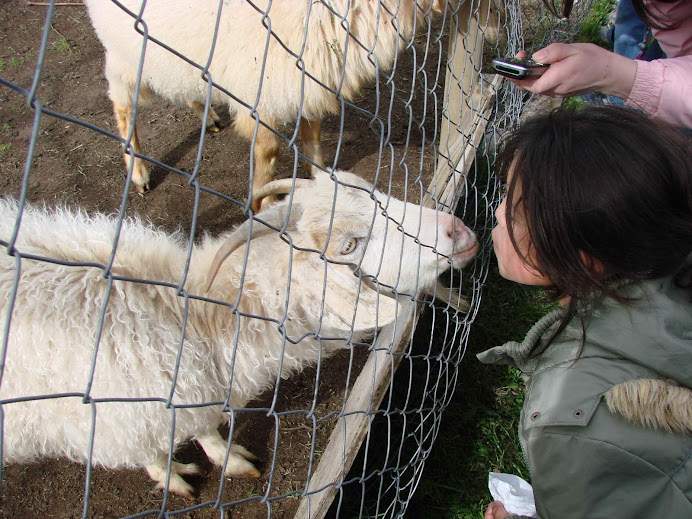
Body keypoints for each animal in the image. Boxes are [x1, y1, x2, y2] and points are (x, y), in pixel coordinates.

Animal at [0, 172, 476, 500]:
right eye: (349, 245)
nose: (458, 230)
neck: (192, 320)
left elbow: (205, 426)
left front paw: (224, 456)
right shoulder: (115, 419)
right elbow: (152, 452)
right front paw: (178, 475)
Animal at [84, 0, 454, 211]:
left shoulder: (306, 77)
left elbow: (312, 135)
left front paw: (321, 179)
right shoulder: (261, 87)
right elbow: (268, 150)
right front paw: (263, 204)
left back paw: (207, 116)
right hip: (126, 51)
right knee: (123, 105)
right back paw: (137, 169)